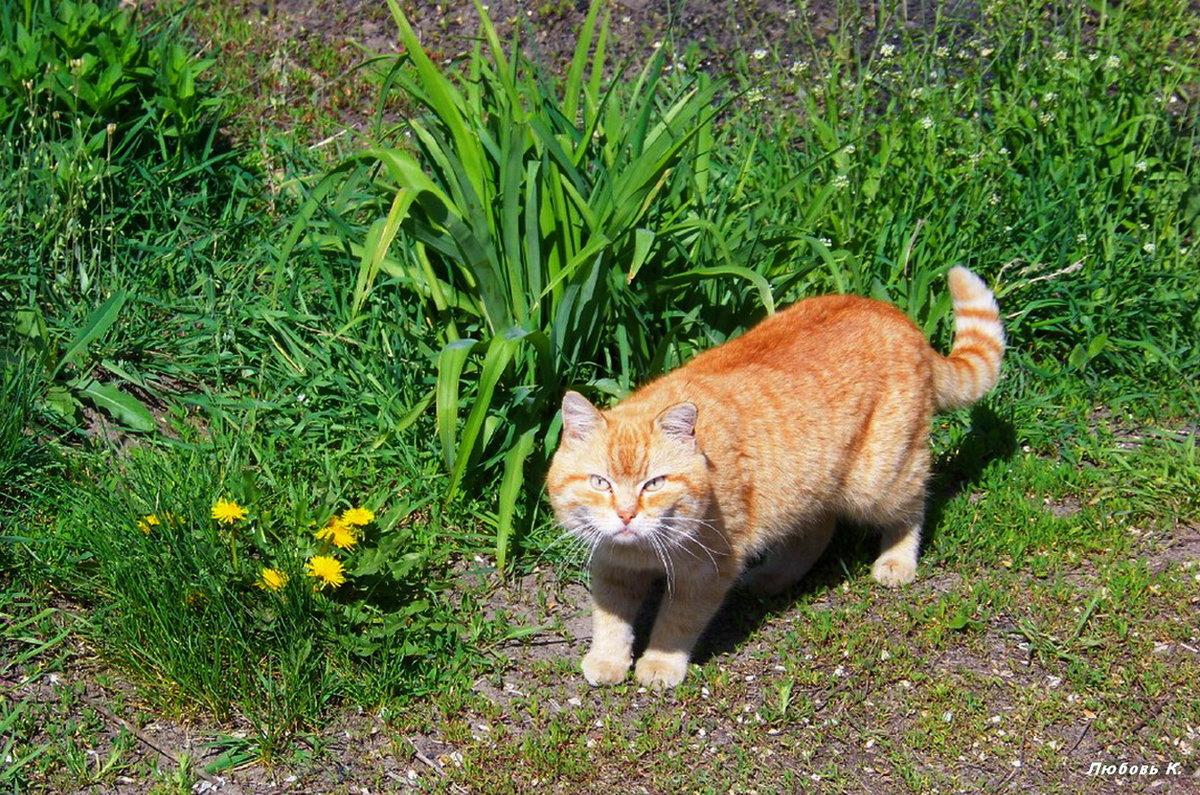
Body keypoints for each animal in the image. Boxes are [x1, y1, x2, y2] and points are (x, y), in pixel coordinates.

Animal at [544, 269, 1003, 691]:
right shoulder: (611, 567)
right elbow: (610, 620)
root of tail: (896, 316)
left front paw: (659, 664)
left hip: (879, 482)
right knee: (817, 530)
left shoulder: (706, 573)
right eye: (600, 482)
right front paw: (608, 660)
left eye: (654, 483)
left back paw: (896, 562)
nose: (625, 515)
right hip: (808, 487)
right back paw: (774, 577)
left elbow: (676, 624)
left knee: (914, 506)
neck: (642, 551)